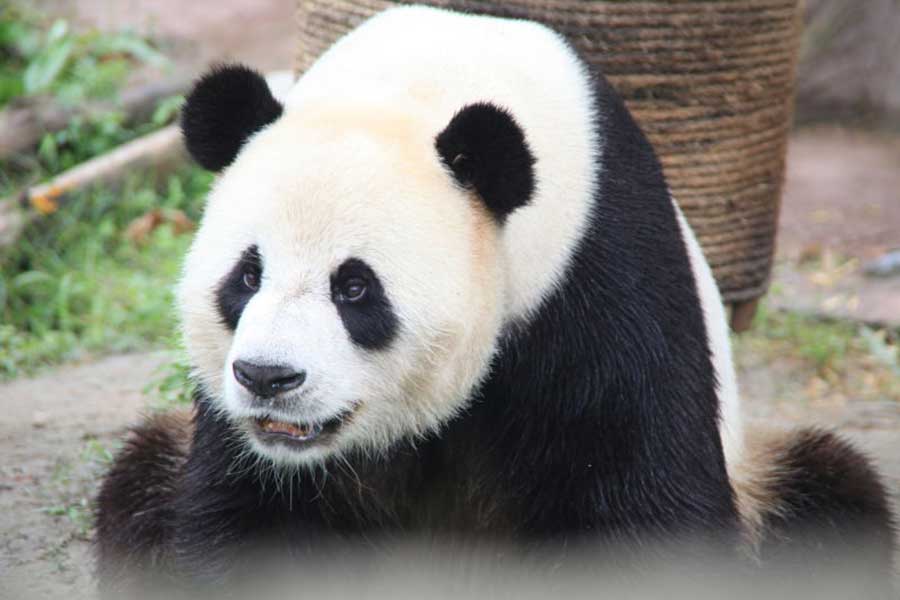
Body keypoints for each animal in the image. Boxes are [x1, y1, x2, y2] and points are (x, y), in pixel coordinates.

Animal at [95, 5, 895, 595]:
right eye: (246, 277)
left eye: (354, 288)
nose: (267, 378)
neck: (419, 85)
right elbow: (247, 514)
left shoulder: (600, 279)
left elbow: (646, 503)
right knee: (138, 485)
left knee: (830, 498)